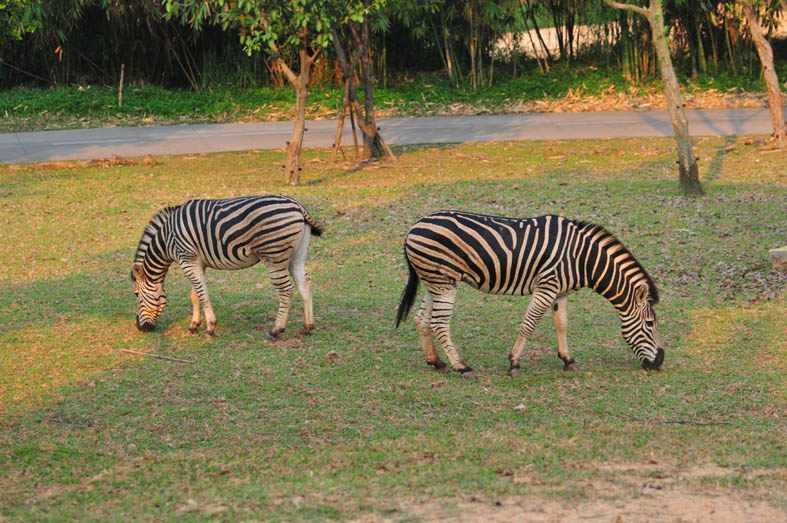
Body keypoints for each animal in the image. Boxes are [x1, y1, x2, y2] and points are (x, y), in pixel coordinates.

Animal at [132, 194, 324, 338]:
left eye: (136, 295)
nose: (140, 327)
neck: (166, 239)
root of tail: (298, 205)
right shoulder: (196, 262)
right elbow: (195, 295)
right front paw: (194, 325)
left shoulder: (187, 260)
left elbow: (202, 294)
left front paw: (210, 327)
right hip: (297, 256)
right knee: (305, 285)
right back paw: (308, 327)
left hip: (273, 256)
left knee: (286, 291)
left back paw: (275, 330)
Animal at [394, 211, 664, 378]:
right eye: (650, 324)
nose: (660, 362)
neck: (582, 259)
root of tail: (414, 227)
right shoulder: (546, 286)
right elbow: (529, 324)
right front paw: (514, 363)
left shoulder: (560, 292)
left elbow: (562, 324)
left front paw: (568, 360)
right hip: (444, 281)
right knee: (439, 323)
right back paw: (462, 367)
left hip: (434, 282)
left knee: (421, 319)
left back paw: (436, 362)